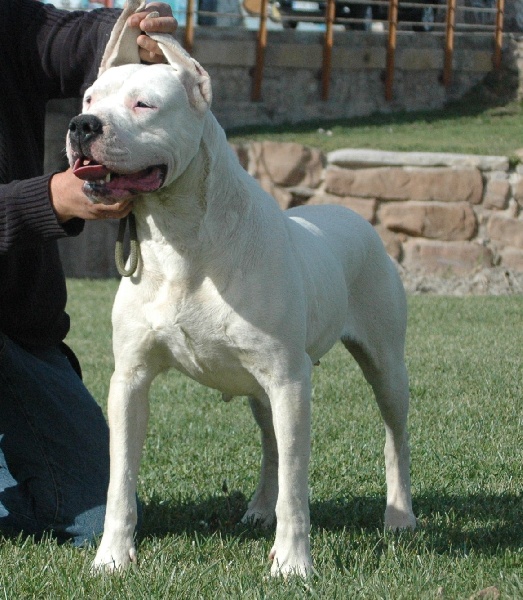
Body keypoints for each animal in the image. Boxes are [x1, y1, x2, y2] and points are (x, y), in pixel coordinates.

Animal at [66, 0, 416, 577]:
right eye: (90, 99)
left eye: (144, 104)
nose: (81, 125)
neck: (183, 243)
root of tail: (354, 216)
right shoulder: (130, 380)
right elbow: (120, 481)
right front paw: (112, 557)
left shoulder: (291, 380)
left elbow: (298, 487)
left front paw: (293, 564)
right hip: (260, 387)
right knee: (271, 444)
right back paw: (257, 509)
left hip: (385, 365)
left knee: (394, 436)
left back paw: (400, 515)